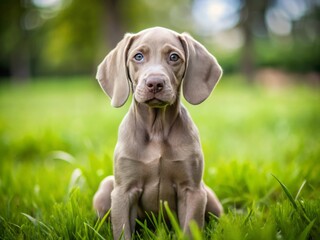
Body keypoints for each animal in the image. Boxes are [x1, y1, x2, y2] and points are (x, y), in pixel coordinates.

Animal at [92, 27, 222, 239]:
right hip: (106, 186)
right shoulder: (123, 191)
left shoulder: (192, 190)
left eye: (174, 57)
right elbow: (123, 231)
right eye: (138, 56)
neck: (157, 129)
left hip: (208, 194)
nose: (155, 83)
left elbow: (190, 229)